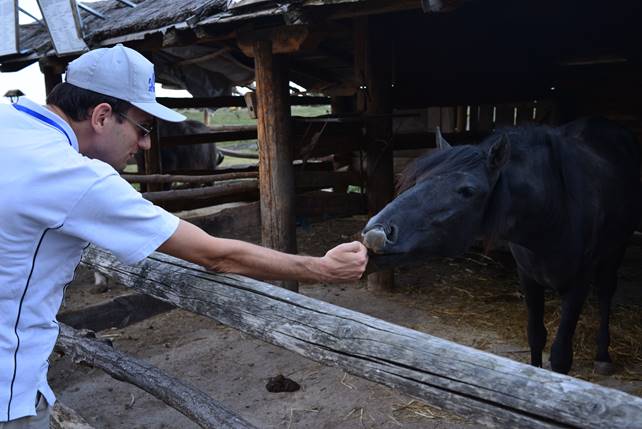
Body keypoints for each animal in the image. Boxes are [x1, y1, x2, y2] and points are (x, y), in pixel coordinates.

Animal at [362, 118, 636, 372]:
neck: (556, 209)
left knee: (606, 292)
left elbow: (560, 355)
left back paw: (603, 356)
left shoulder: (578, 284)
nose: (377, 231)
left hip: (615, 252)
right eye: (419, 179)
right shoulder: (528, 277)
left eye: (468, 191)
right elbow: (536, 336)